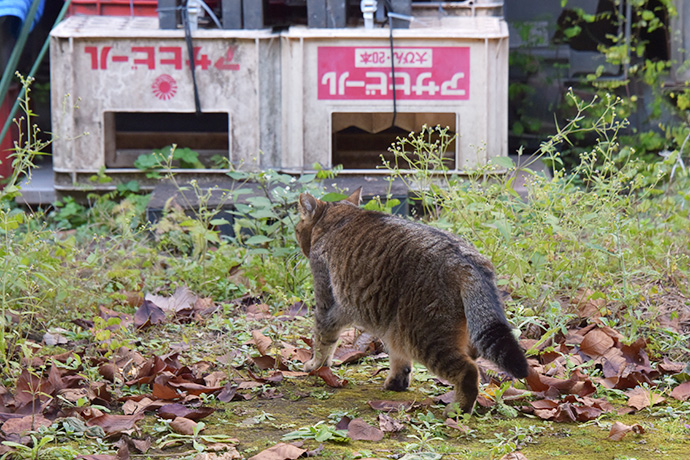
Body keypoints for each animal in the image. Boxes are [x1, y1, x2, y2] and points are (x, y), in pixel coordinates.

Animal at [296, 187, 528, 414]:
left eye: (297, 229)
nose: (297, 235)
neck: (339, 217)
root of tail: (465, 259)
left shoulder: (327, 304)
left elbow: (322, 341)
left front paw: (315, 366)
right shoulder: (384, 324)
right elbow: (398, 358)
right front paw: (397, 382)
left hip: (425, 335)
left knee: (469, 370)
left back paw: (458, 409)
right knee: (474, 357)